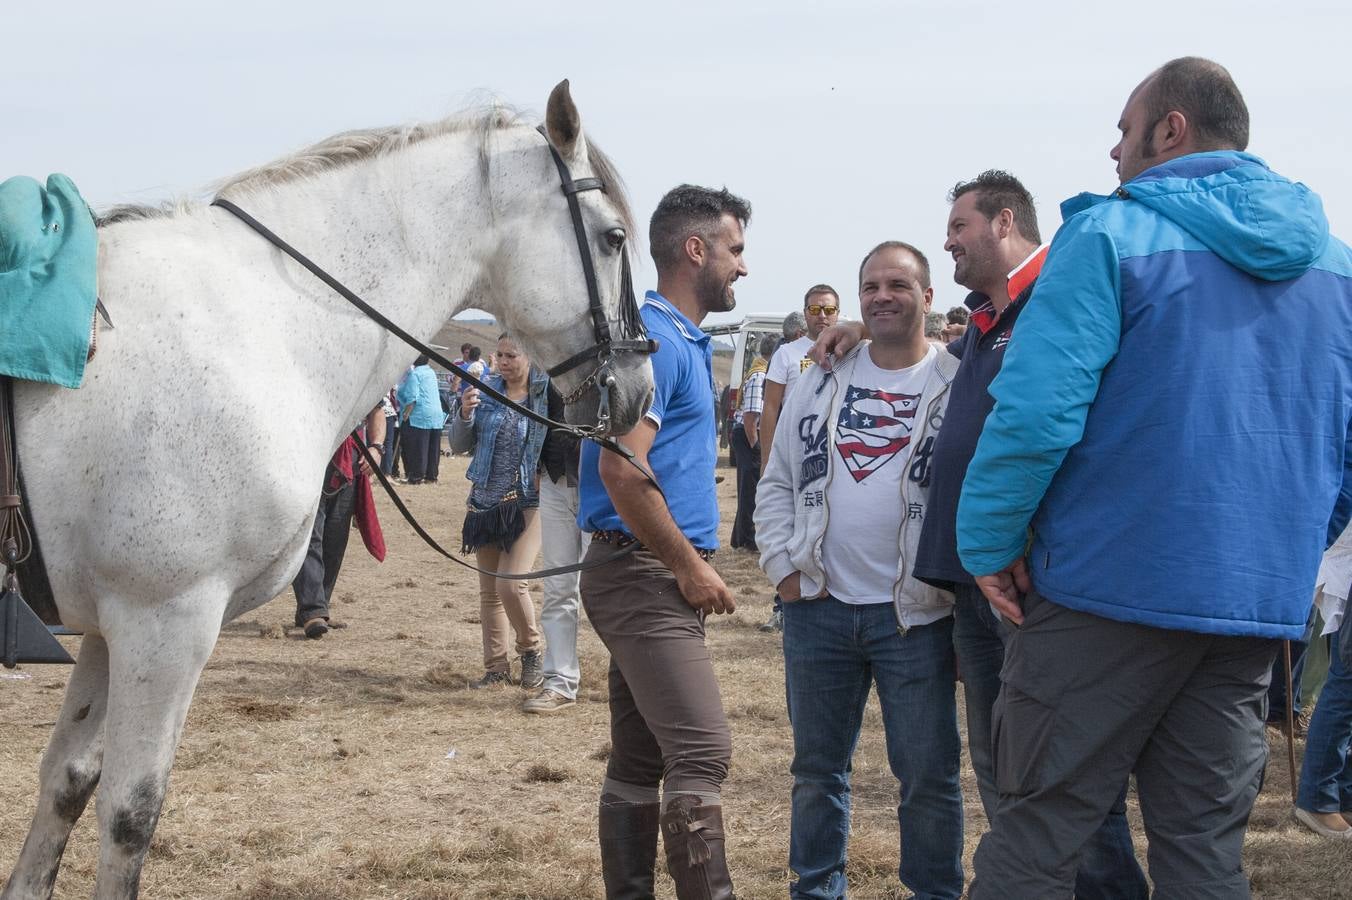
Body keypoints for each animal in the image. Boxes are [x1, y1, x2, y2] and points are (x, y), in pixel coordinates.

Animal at [0, 80, 654, 891]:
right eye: (613, 238)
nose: (639, 390)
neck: (260, 325)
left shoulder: (105, 628)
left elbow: (67, 781)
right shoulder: (166, 622)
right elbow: (129, 812)